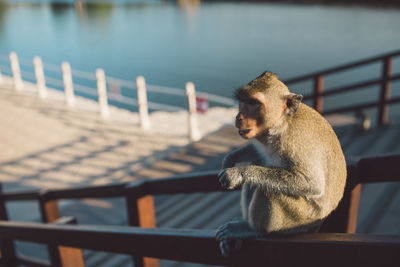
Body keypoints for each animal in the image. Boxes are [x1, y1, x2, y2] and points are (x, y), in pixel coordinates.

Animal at [216, 71, 346, 258]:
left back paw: (252, 229)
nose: (238, 118)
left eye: (254, 103)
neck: (281, 124)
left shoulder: (294, 141)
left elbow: (312, 184)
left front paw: (239, 172)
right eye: (242, 101)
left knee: (268, 190)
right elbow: (258, 152)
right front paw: (230, 157)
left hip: (300, 220)